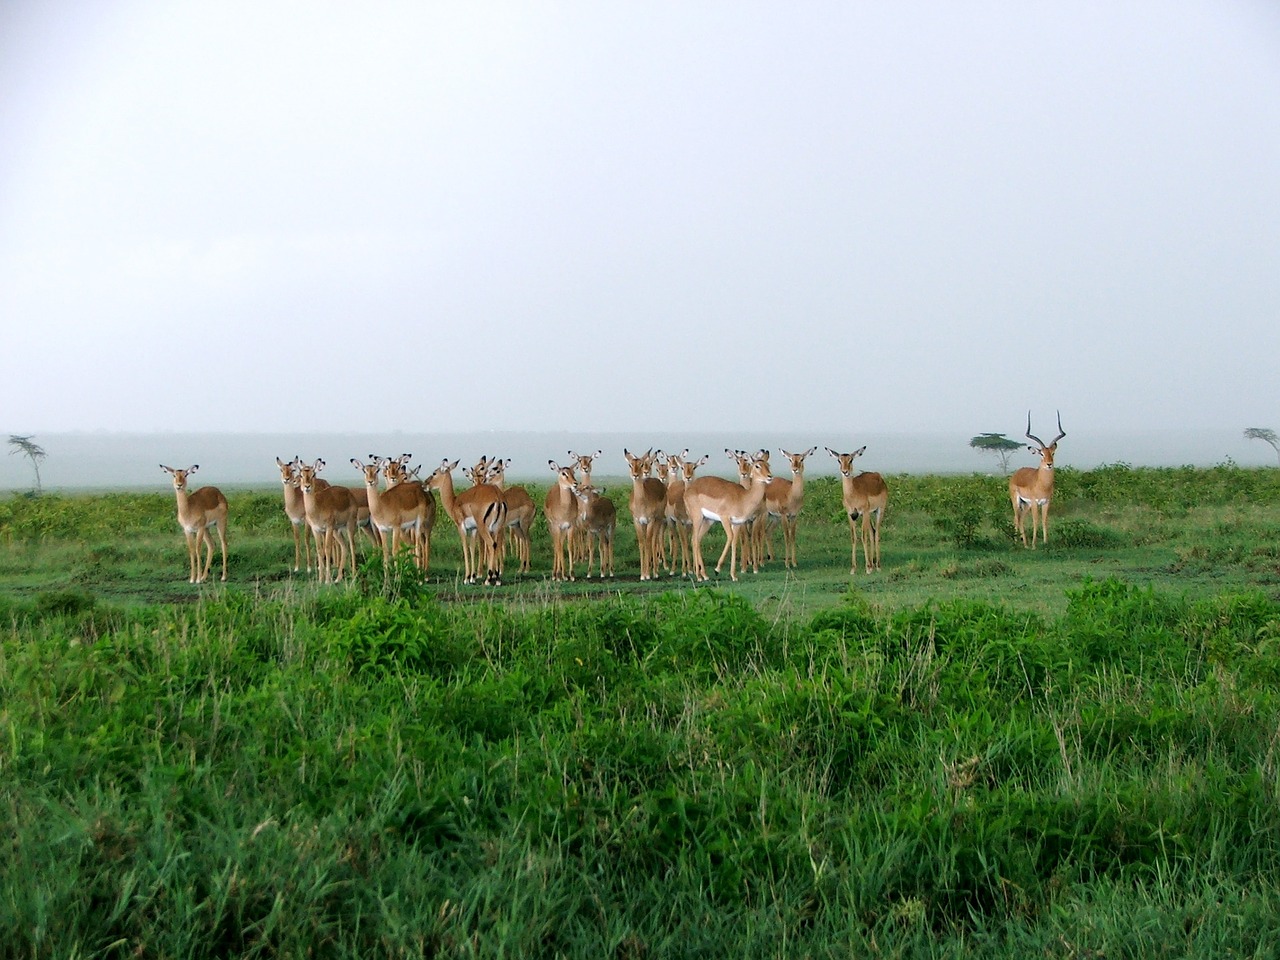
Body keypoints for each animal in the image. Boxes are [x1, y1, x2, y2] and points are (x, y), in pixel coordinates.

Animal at [824, 448, 885, 576]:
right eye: (839, 460)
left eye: (851, 460)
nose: (845, 472)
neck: (853, 494)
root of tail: (878, 476)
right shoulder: (851, 515)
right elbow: (853, 537)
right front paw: (853, 569)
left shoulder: (864, 512)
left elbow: (863, 537)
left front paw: (867, 568)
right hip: (869, 515)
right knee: (872, 532)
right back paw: (873, 564)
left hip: (878, 511)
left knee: (876, 533)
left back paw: (877, 566)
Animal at [1003, 412, 1064, 547]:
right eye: (1041, 453)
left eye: (1053, 453)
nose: (1049, 464)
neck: (1042, 484)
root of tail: (1016, 473)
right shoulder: (1035, 502)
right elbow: (1036, 521)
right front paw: (1034, 545)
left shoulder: (1046, 502)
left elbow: (1044, 520)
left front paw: (1045, 542)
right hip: (1017, 501)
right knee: (1016, 517)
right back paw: (1017, 542)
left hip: (1026, 504)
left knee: (1020, 519)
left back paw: (1024, 543)